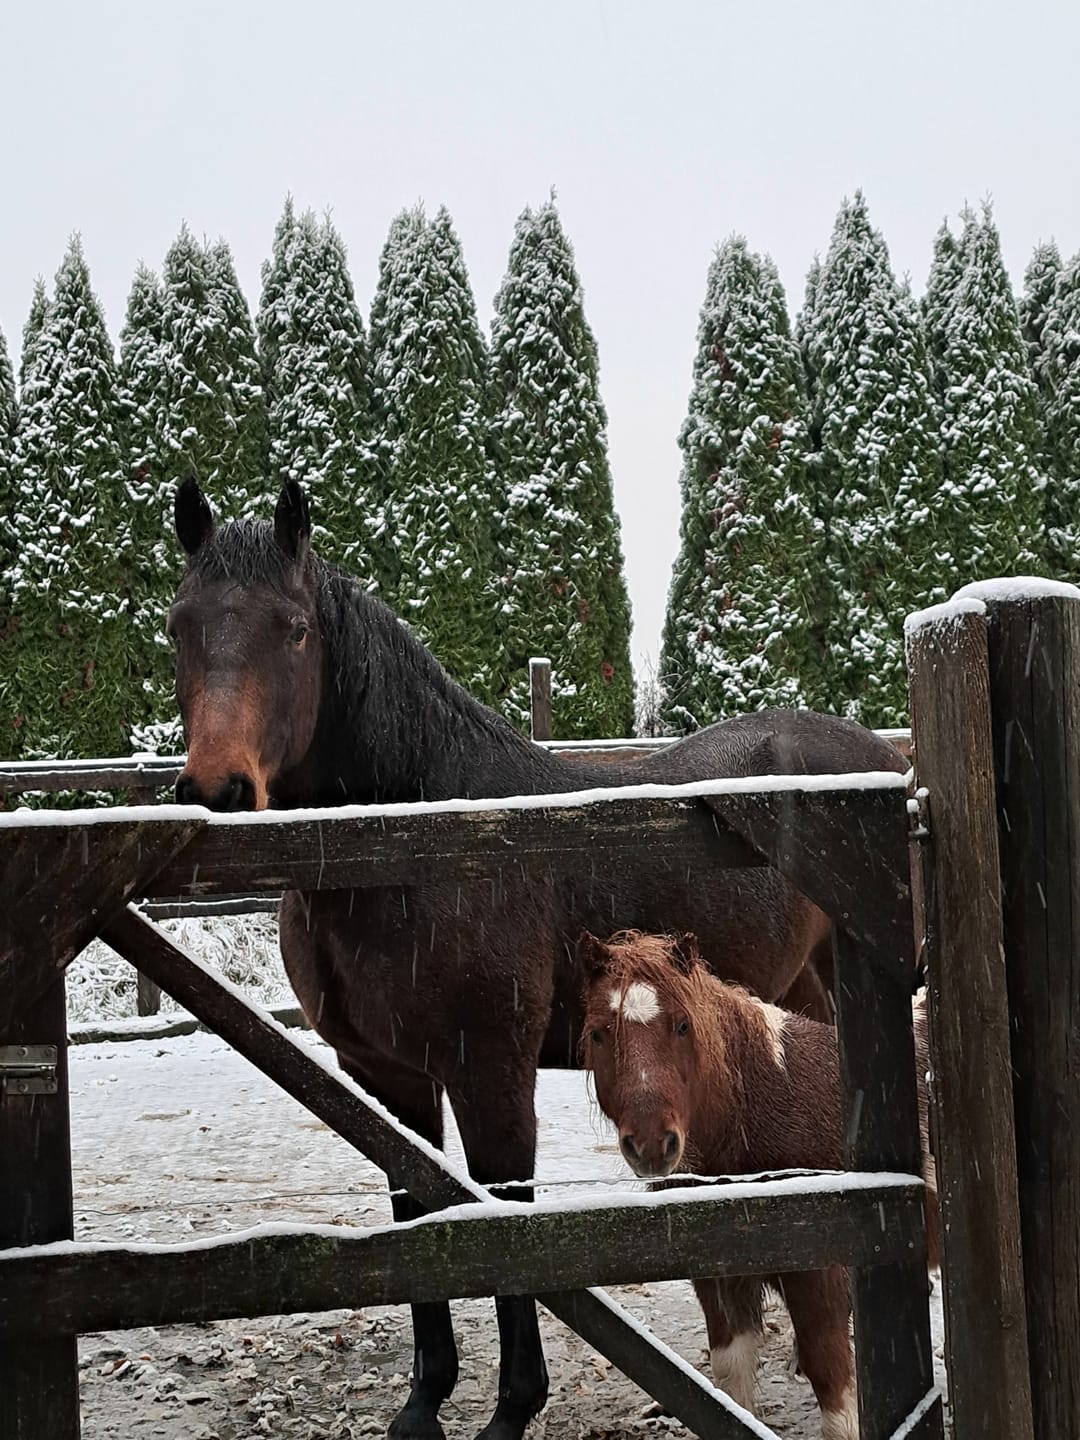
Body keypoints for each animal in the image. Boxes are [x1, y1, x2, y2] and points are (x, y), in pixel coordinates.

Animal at [578, 928, 939, 1440]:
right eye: (598, 1033)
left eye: (683, 1025)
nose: (651, 1144)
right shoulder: (720, 1277)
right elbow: (730, 1382)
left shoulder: (820, 1274)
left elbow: (832, 1385)